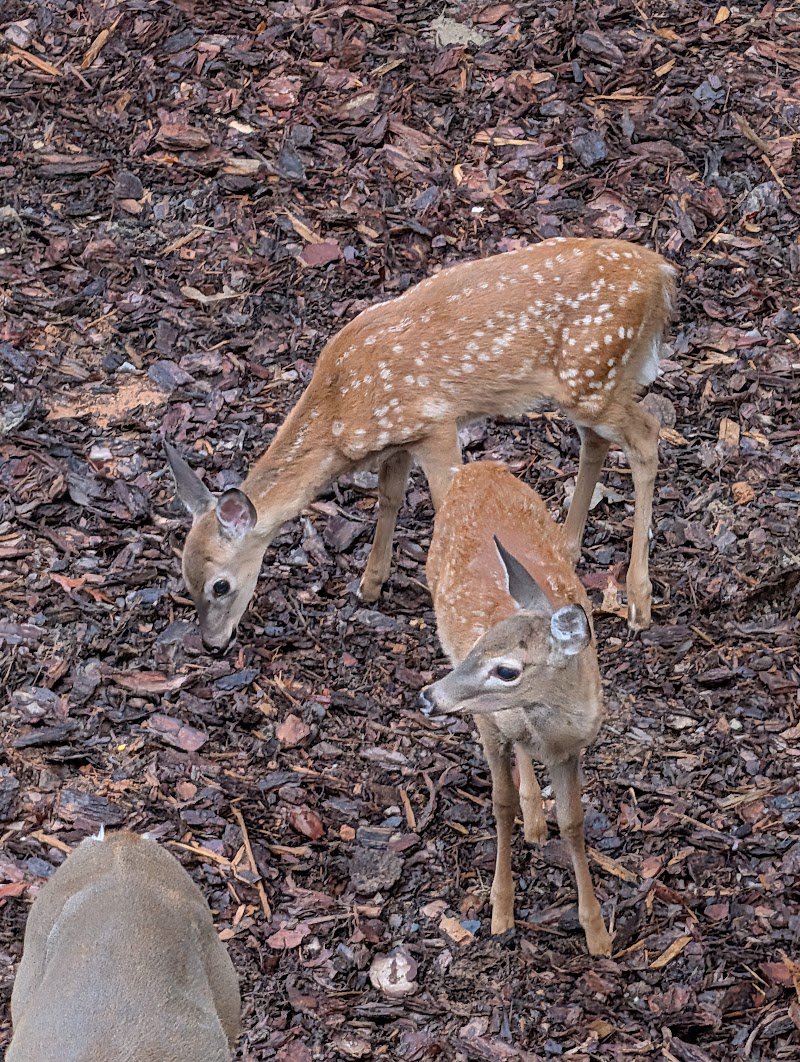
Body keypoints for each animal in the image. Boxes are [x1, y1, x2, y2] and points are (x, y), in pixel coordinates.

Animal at [165, 237, 676, 651]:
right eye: (185, 580)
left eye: (219, 586)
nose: (212, 645)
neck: (339, 411)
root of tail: (663, 275)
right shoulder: (398, 439)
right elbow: (389, 498)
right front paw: (370, 584)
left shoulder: (435, 422)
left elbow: (449, 505)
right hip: (592, 384)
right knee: (597, 442)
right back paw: (567, 548)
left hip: (592, 376)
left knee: (647, 435)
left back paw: (639, 602)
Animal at [418, 461, 612, 956]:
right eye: (479, 645)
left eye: (506, 670)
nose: (429, 695)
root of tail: (475, 467)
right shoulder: (490, 723)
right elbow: (499, 804)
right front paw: (501, 911)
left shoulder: (572, 749)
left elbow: (574, 824)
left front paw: (598, 933)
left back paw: (536, 821)